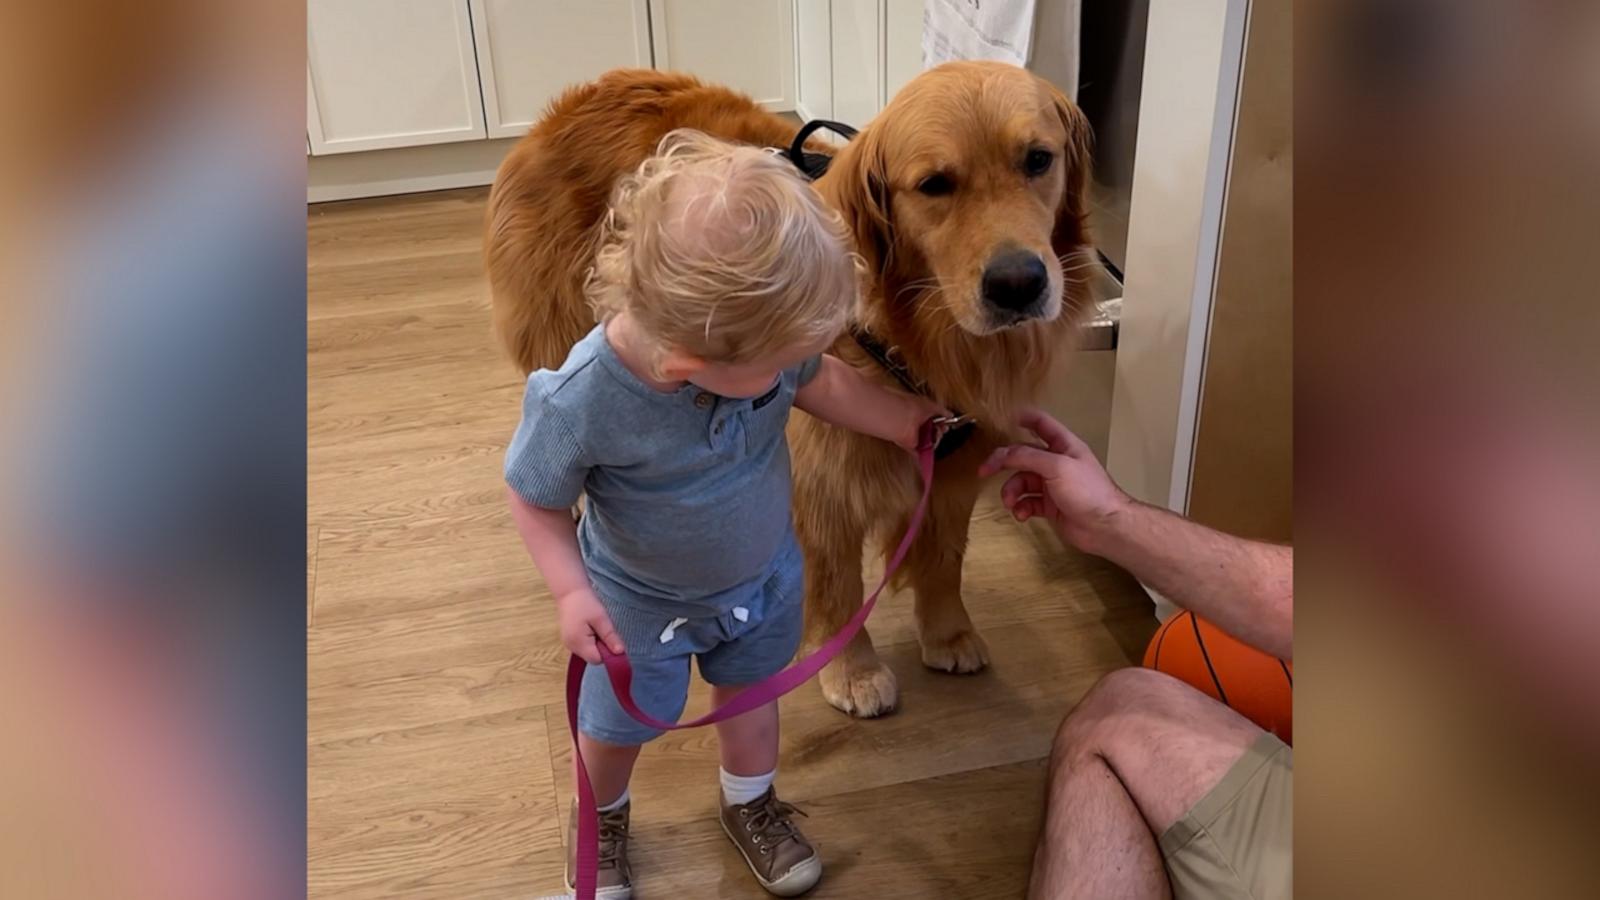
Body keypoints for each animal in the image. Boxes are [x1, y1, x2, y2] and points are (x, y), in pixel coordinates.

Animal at [480, 63, 1094, 714]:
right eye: (934, 184)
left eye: (1037, 159)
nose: (1018, 283)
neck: (909, 342)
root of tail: (588, 92)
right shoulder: (820, 485)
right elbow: (839, 586)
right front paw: (852, 670)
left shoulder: (955, 466)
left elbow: (944, 557)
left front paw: (948, 632)